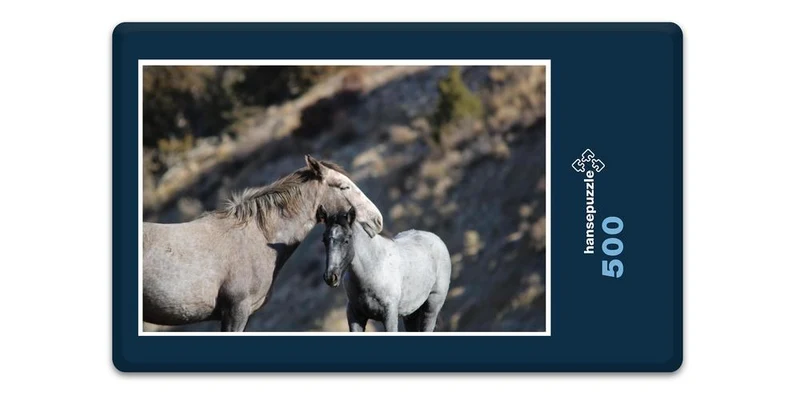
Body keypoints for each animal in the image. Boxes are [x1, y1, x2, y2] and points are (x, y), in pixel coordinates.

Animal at [319, 206, 452, 332]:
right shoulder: (355, 316)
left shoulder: (389, 316)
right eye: (324, 240)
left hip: (431, 307)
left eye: (346, 240)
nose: (331, 277)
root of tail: (437, 239)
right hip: (411, 313)